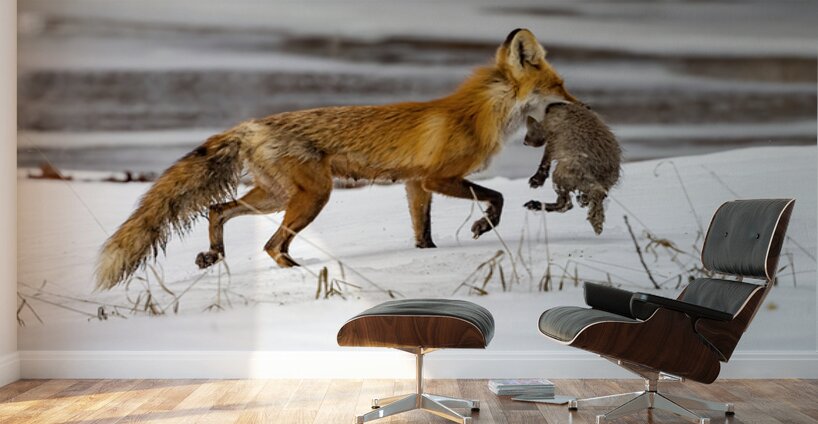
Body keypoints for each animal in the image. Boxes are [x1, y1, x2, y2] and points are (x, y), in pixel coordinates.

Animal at [96, 28, 579, 290]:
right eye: (560, 87)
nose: (582, 106)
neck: (477, 114)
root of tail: (249, 125)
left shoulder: (414, 184)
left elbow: (422, 233)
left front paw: (428, 254)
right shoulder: (438, 177)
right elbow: (496, 198)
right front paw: (482, 226)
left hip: (276, 196)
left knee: (217, 210)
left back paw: (214, 255)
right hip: (313, 196)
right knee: (272, 245)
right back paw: (299, 274)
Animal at [523, 103, 621, 234]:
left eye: (529, 130)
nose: (524, 142)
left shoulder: (553, 137)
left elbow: (545, 159)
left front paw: (537, 179)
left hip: (560, 175)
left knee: (565, 204)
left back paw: (535, 204)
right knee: (576, 201)